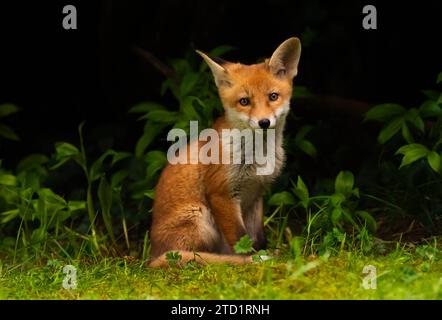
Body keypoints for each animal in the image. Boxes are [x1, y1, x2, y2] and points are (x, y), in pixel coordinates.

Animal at [148, 37, 300, 268]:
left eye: (273, 96)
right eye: (244, 101)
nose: (264, 122)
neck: (257, 157)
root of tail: (151, 256)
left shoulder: (256, 194)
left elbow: (258, 237)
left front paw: (261, 253)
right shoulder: (222, 193)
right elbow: (240, 239)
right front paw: (253, 259)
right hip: (200, 217)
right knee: (194, 255)